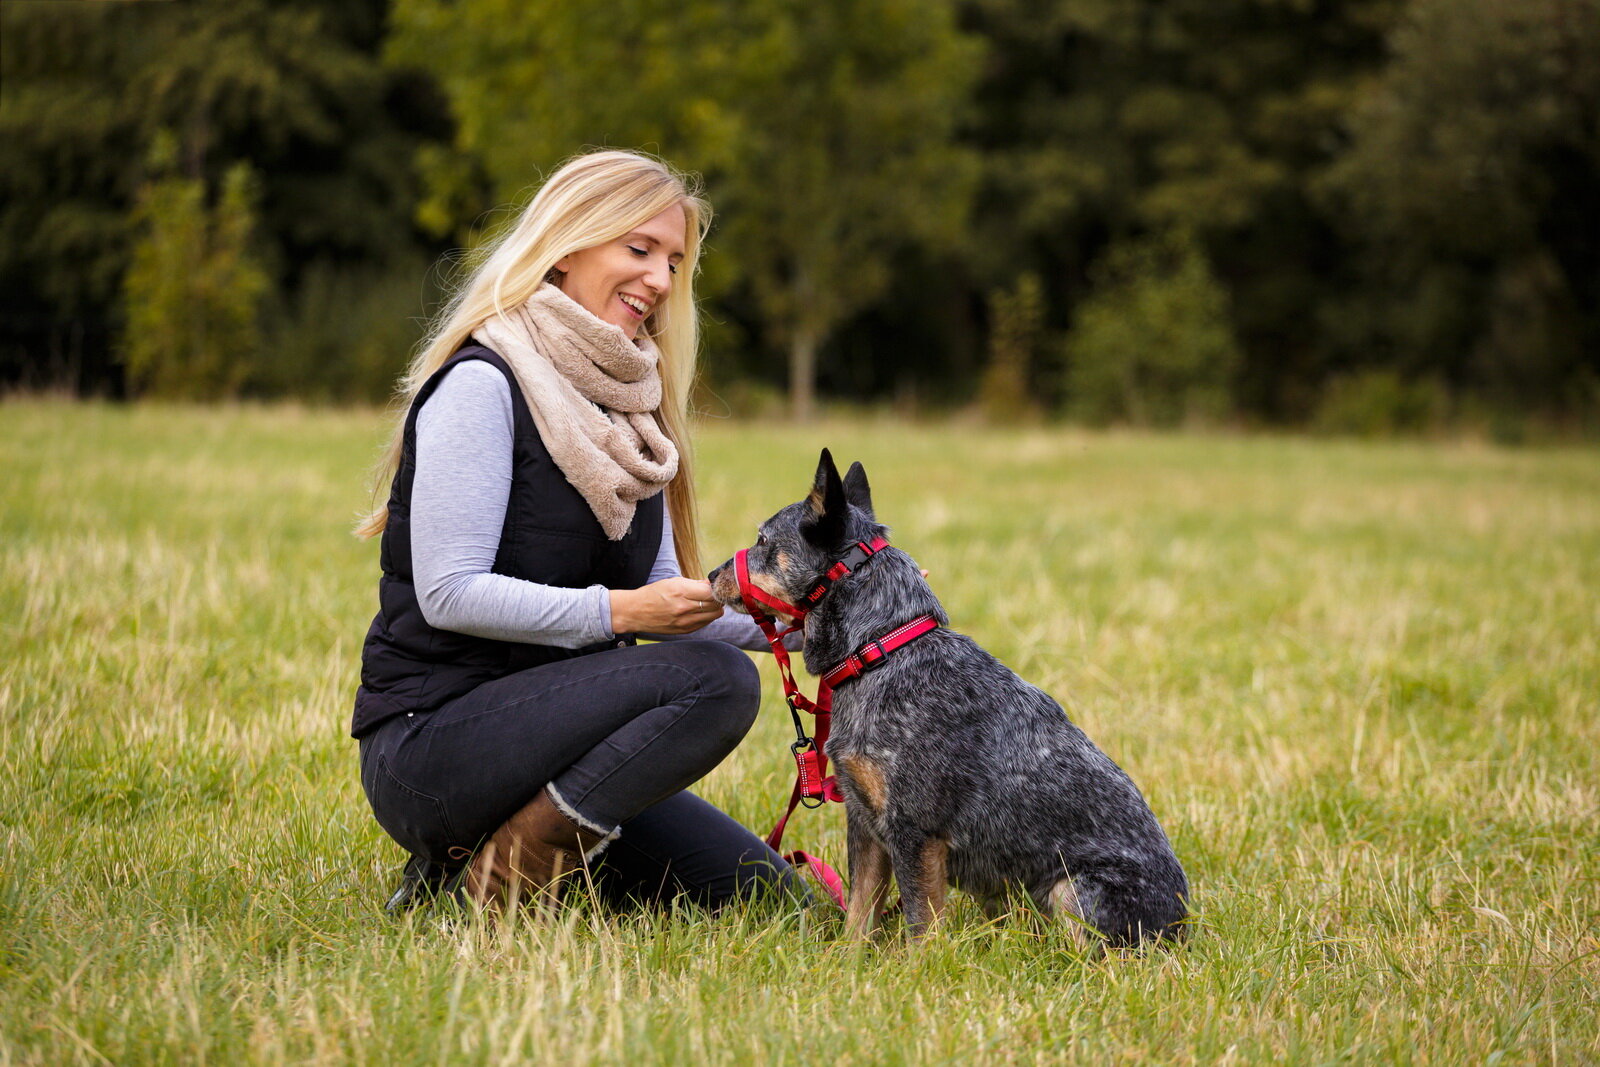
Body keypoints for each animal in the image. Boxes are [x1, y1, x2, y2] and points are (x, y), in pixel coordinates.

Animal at [713, 447, 1190, 947]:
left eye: (763, 539)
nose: (709, 574)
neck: (882, 651)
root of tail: (1184, 922)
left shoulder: (913, 832)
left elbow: (921, 926)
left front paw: (917, 963)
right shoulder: (865, 823)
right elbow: (859, 915)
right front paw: (848, 961)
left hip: (1075, 892)